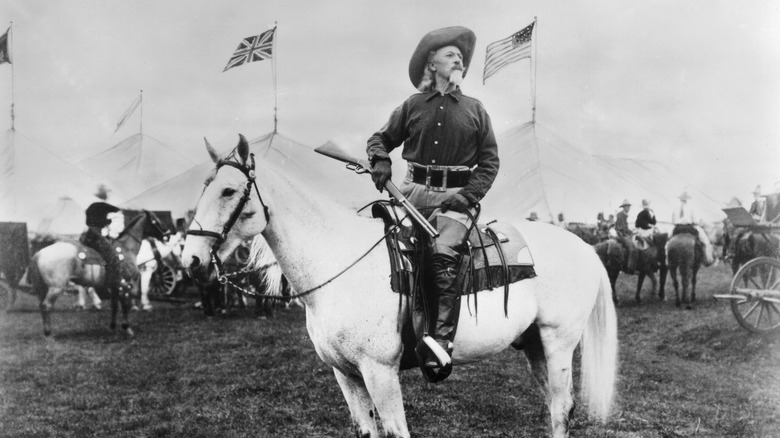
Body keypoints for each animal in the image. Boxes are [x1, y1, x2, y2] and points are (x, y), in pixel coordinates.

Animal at [181, 135, 616, 436]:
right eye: (203, 187)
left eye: (228, 190)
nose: (191, 259)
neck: (337, 263)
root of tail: (585, 246)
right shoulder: (346, 375)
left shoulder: (380, 372)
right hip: (535, 346)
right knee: (557, 406)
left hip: (558, 342)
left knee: (560, 409)